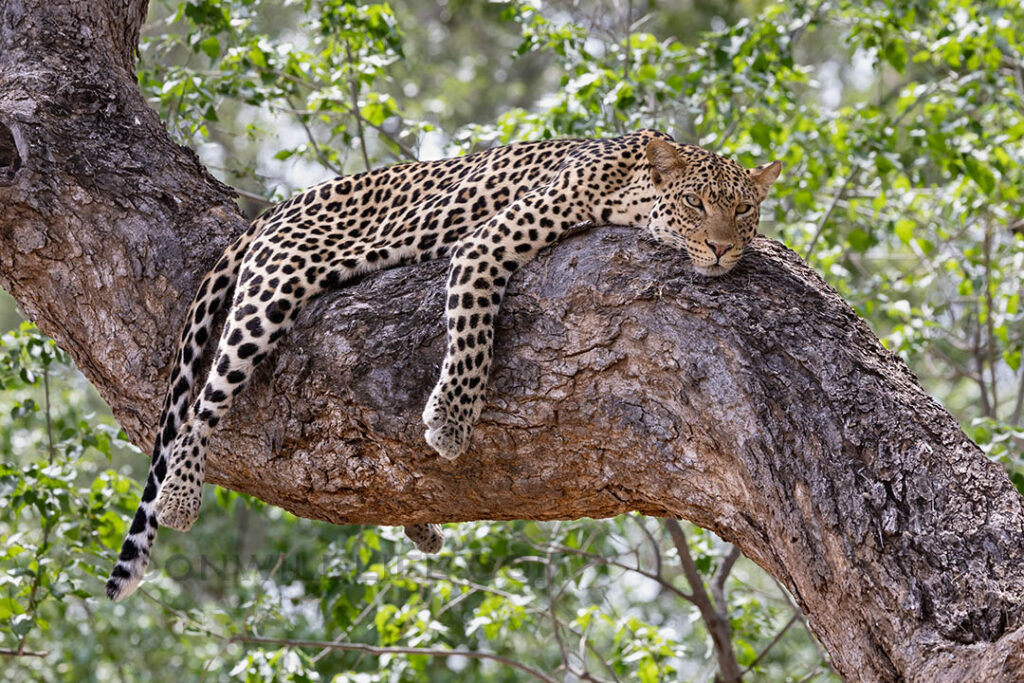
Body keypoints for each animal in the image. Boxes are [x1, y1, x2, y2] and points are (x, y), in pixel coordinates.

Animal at [105, 128, 781, 601]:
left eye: (744, 211)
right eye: (698, 204)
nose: (722, 248)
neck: (630, 182)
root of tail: (277, 206)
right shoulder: (489, 241)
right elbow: (473, 328)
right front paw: (452, 421)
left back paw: (421, 527)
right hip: (275, 284)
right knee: (203, 399)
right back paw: (180, 495)